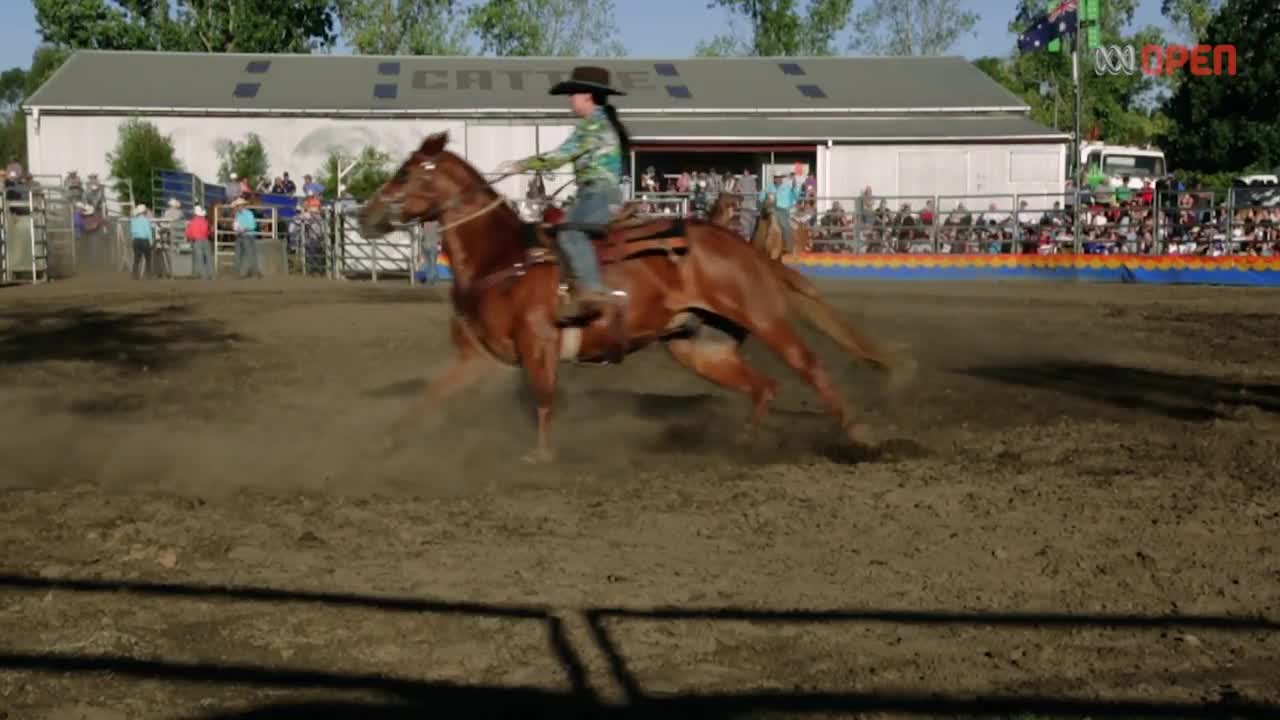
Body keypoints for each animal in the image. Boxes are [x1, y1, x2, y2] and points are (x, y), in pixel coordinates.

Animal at [360, 131, 911, 461]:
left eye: (407, 174)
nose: (366, 216)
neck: (502, 259)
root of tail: (743, 247)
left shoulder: (539, 345)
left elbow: (544, 401)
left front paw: (540, 456)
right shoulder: (477, 356)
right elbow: (432, 396)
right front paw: (385, 442)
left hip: (763, 317)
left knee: (808, 367)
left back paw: (860, 435)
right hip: (697, 344)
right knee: (764, 386)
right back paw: (743, 443)